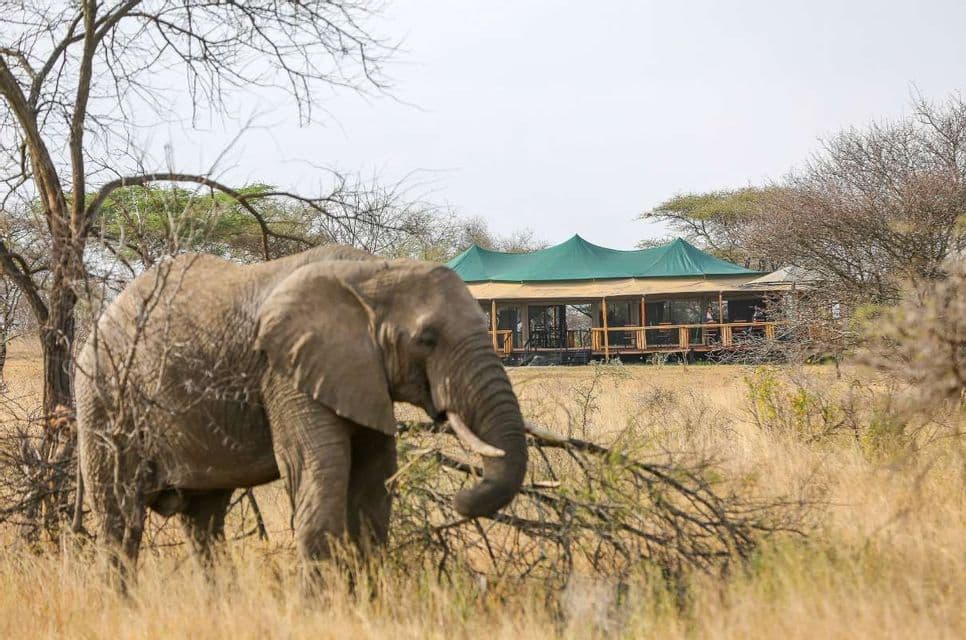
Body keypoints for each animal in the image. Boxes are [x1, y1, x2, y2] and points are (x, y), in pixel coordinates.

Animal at [74, 245, 528, 583]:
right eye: (427, 339)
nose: (460, 498)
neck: (371, 272)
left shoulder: (360, 376)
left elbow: (373, 482)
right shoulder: (284, 371)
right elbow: (319, 468)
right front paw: (322, 609)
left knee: (204, 521)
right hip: (104, 399)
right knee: (121, 519)